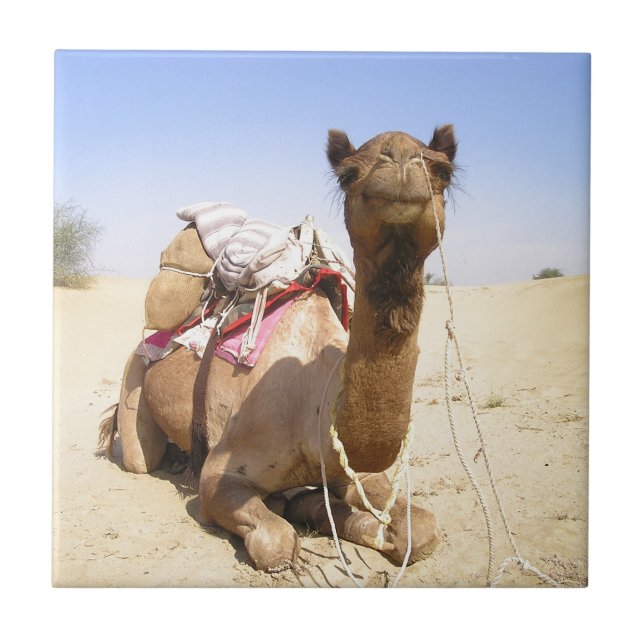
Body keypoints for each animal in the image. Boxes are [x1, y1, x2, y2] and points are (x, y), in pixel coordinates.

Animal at [100, 125, 458, 573]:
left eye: (443, 170)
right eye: (347, 174)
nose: (401, 161)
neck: (313, 404)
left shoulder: (355, 472)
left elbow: (422, 529)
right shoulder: (221, 473)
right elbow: (276, 541)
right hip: (134, 377)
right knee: (141, 458)